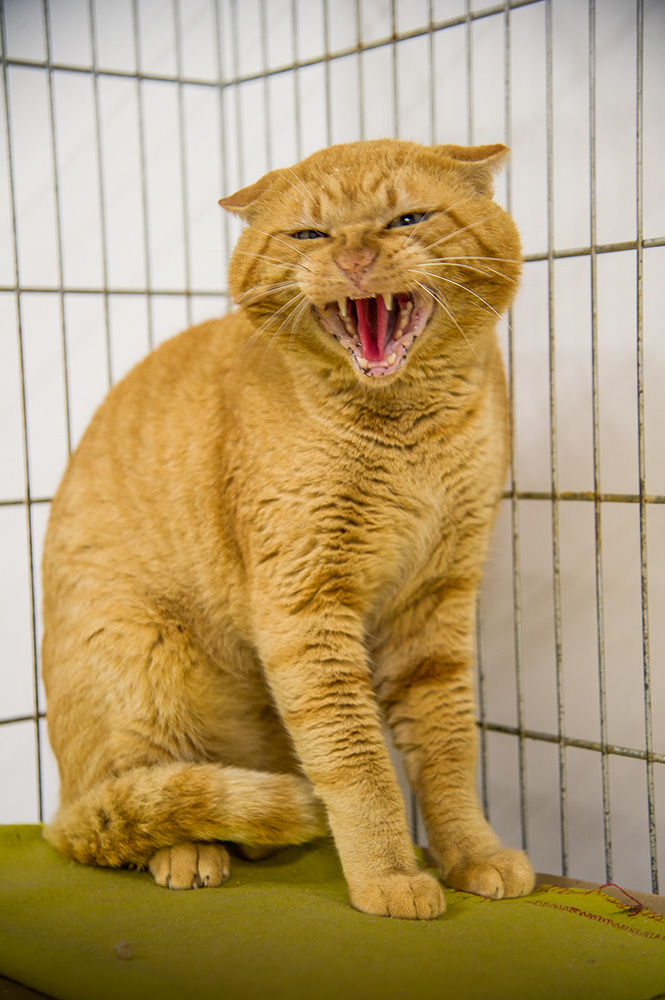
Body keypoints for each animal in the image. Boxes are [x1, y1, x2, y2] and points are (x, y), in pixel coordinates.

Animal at [41, 137, 532, 916]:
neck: (407, 434)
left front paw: (472, 855)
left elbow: (449, 749)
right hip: (135, 660)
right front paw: (389, 876)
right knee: (120, 813)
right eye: (310, 234)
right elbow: (356, 761)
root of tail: (55, 801)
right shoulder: (305, 605)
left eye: (407, 218)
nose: (355, 260)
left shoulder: (437, 601)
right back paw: (191, 849)